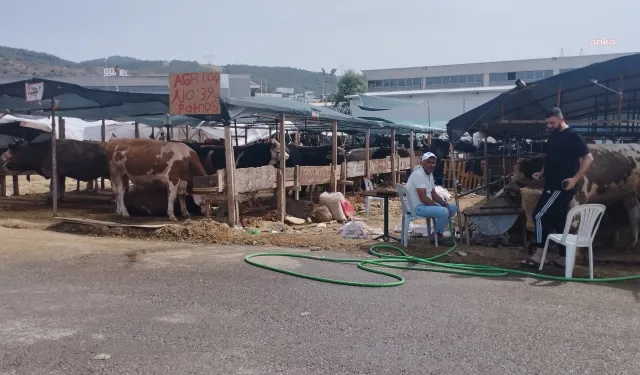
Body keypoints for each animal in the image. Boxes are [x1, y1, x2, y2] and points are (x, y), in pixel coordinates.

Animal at [512, 145, 640, 248]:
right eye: (524, 206)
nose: (531, 226)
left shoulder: (578, 201)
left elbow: (573, 226)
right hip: (628, 194)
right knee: (633, 214)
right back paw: (631, 242)